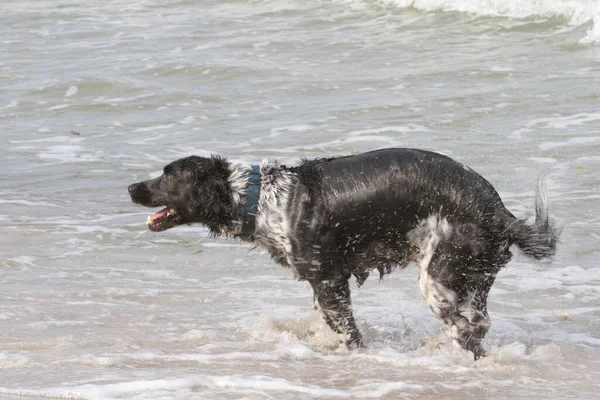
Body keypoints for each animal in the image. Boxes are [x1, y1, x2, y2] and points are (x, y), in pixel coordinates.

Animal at [129, 148, 560, 360]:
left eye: (169, 175)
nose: (131, 187)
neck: (261, 198)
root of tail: (498, 210)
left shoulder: (328, 279)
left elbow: (349, 332)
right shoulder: (323, 284)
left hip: (439, 274)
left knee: (467, 327)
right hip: (475, 278)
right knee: (477, 325)